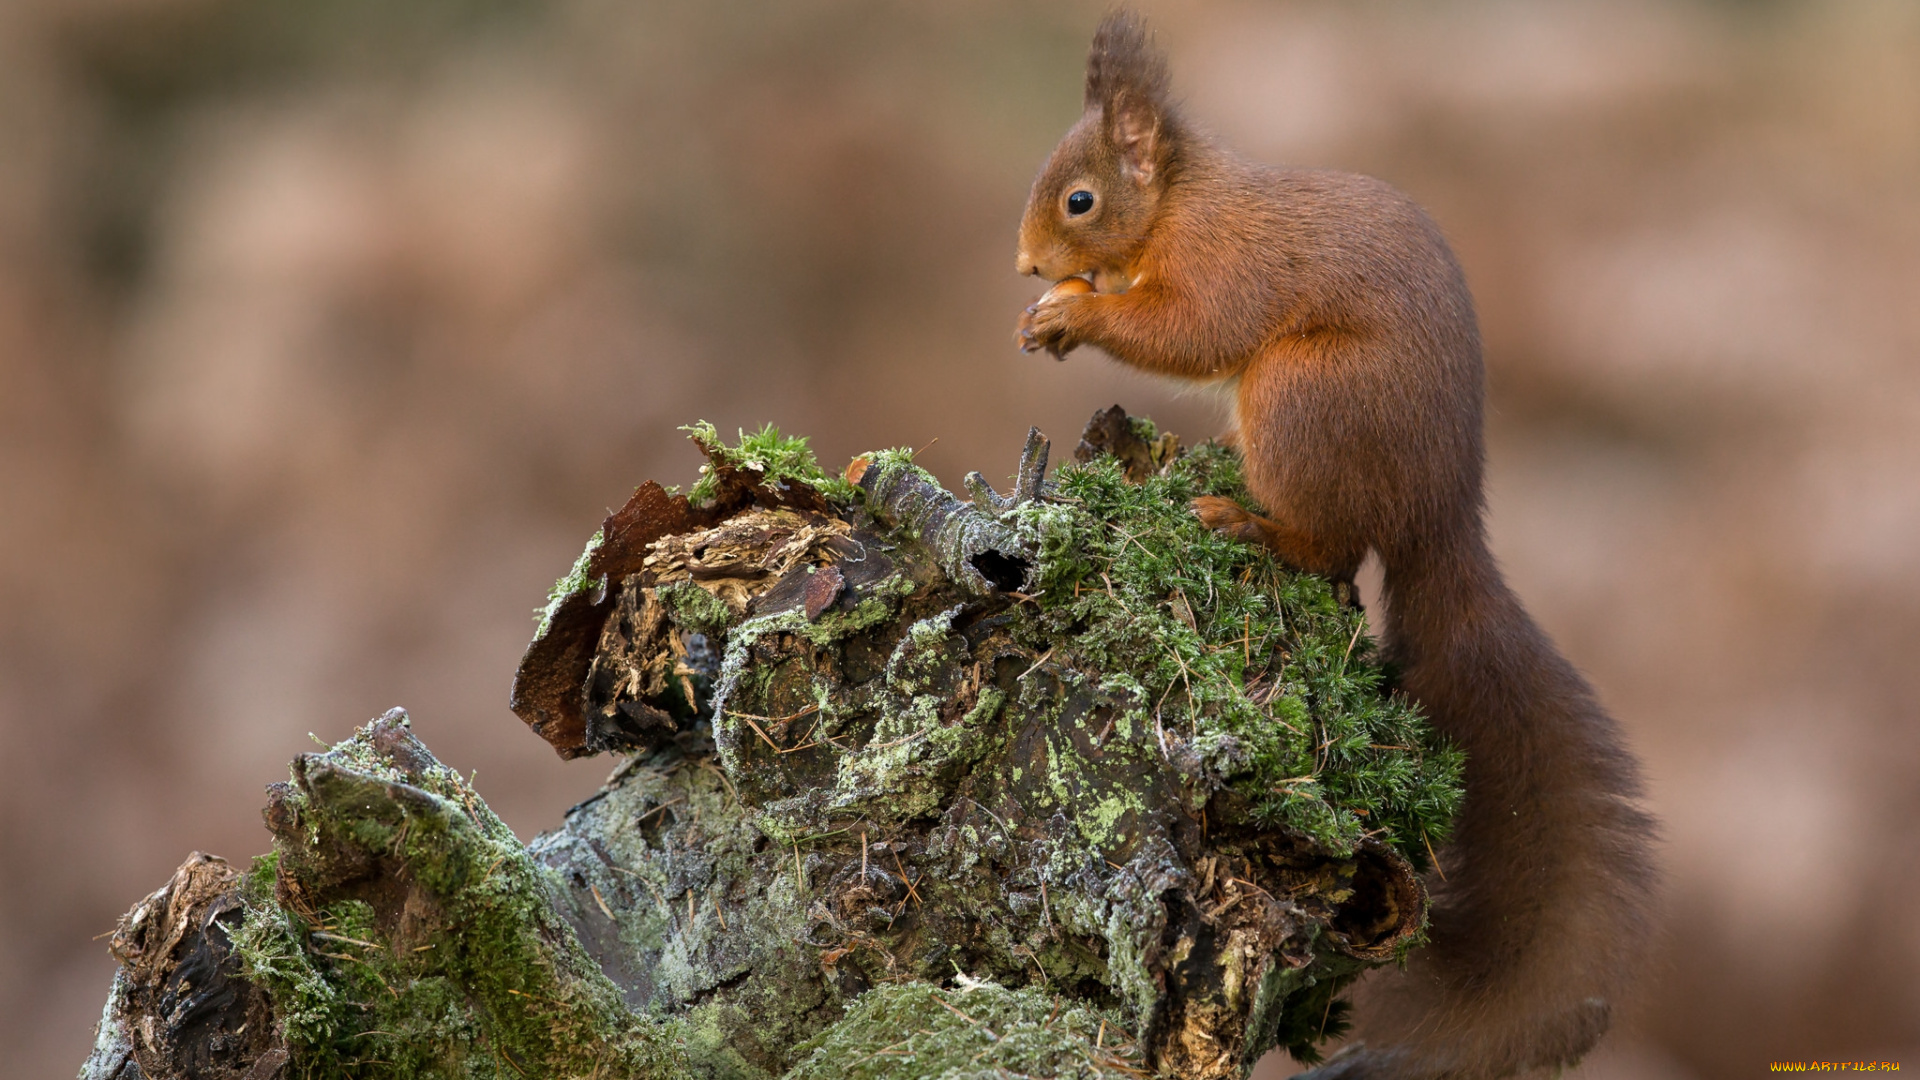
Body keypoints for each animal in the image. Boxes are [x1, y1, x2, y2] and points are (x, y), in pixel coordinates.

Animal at [1013, 10, 1658, 1076]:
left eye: (1080, 198)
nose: (1025, 266)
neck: (1180, 201)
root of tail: (1441, 517)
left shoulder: (1222, 264)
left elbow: (1191, 330)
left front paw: (1077, 310)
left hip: (1300, 397)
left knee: (1326, 548)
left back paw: (1244, 520)